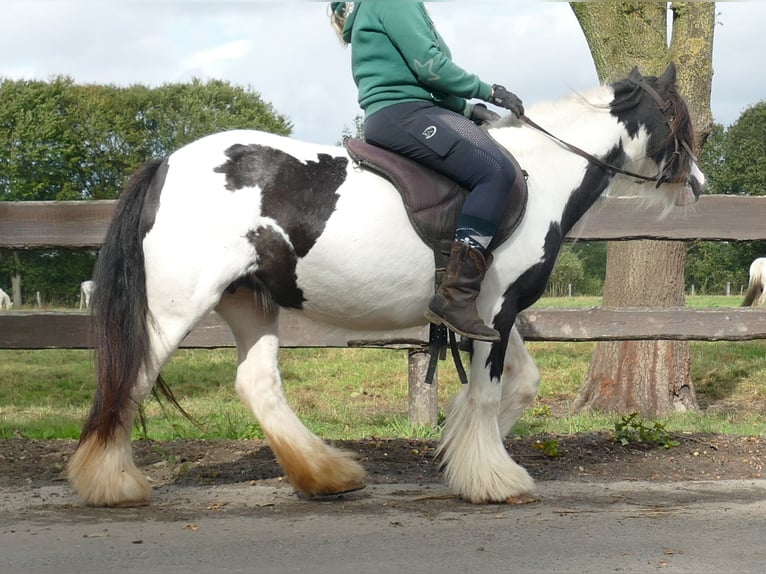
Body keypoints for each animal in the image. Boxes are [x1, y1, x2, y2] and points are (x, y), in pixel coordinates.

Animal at [67, 65, 708, 510]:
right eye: (677, 119)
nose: (698, 184)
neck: (542, 173)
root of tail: (166, 165)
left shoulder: (487, 314)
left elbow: (518, 386)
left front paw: (461, 453)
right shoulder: (495, 311)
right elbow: (487, 395)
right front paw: (493, 478)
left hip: (250, 301)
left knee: (258, 385)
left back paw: (328, 475)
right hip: (175, 307)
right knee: (129, 378)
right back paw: (111, 483)